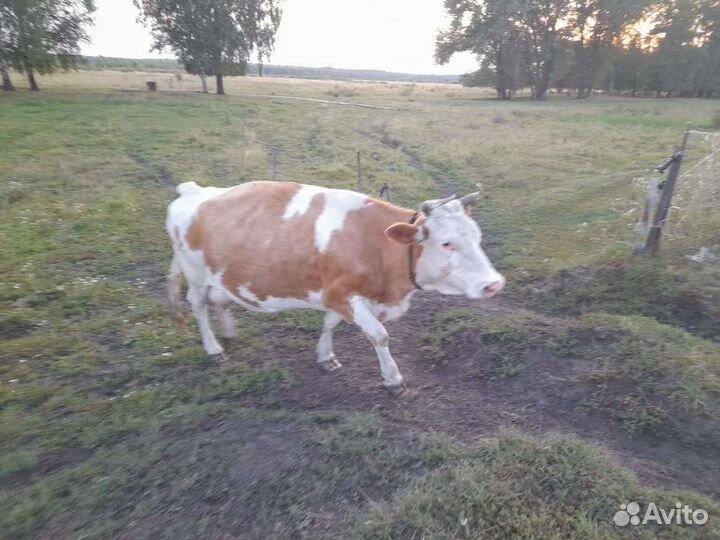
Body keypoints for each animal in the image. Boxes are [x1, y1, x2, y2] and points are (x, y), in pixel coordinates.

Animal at [166, 181, 505, 394]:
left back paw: (228, 332)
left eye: (477, 236)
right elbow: (379, 335)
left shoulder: (337, 294)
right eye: (446, 243)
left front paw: (325, 357)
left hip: (218, 275)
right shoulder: (343, 294)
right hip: (195, 273)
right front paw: (393, 379)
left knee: (219, 301)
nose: (494, 284)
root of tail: (193, 190)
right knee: (198, 306)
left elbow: (330, 324)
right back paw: (214, 349)